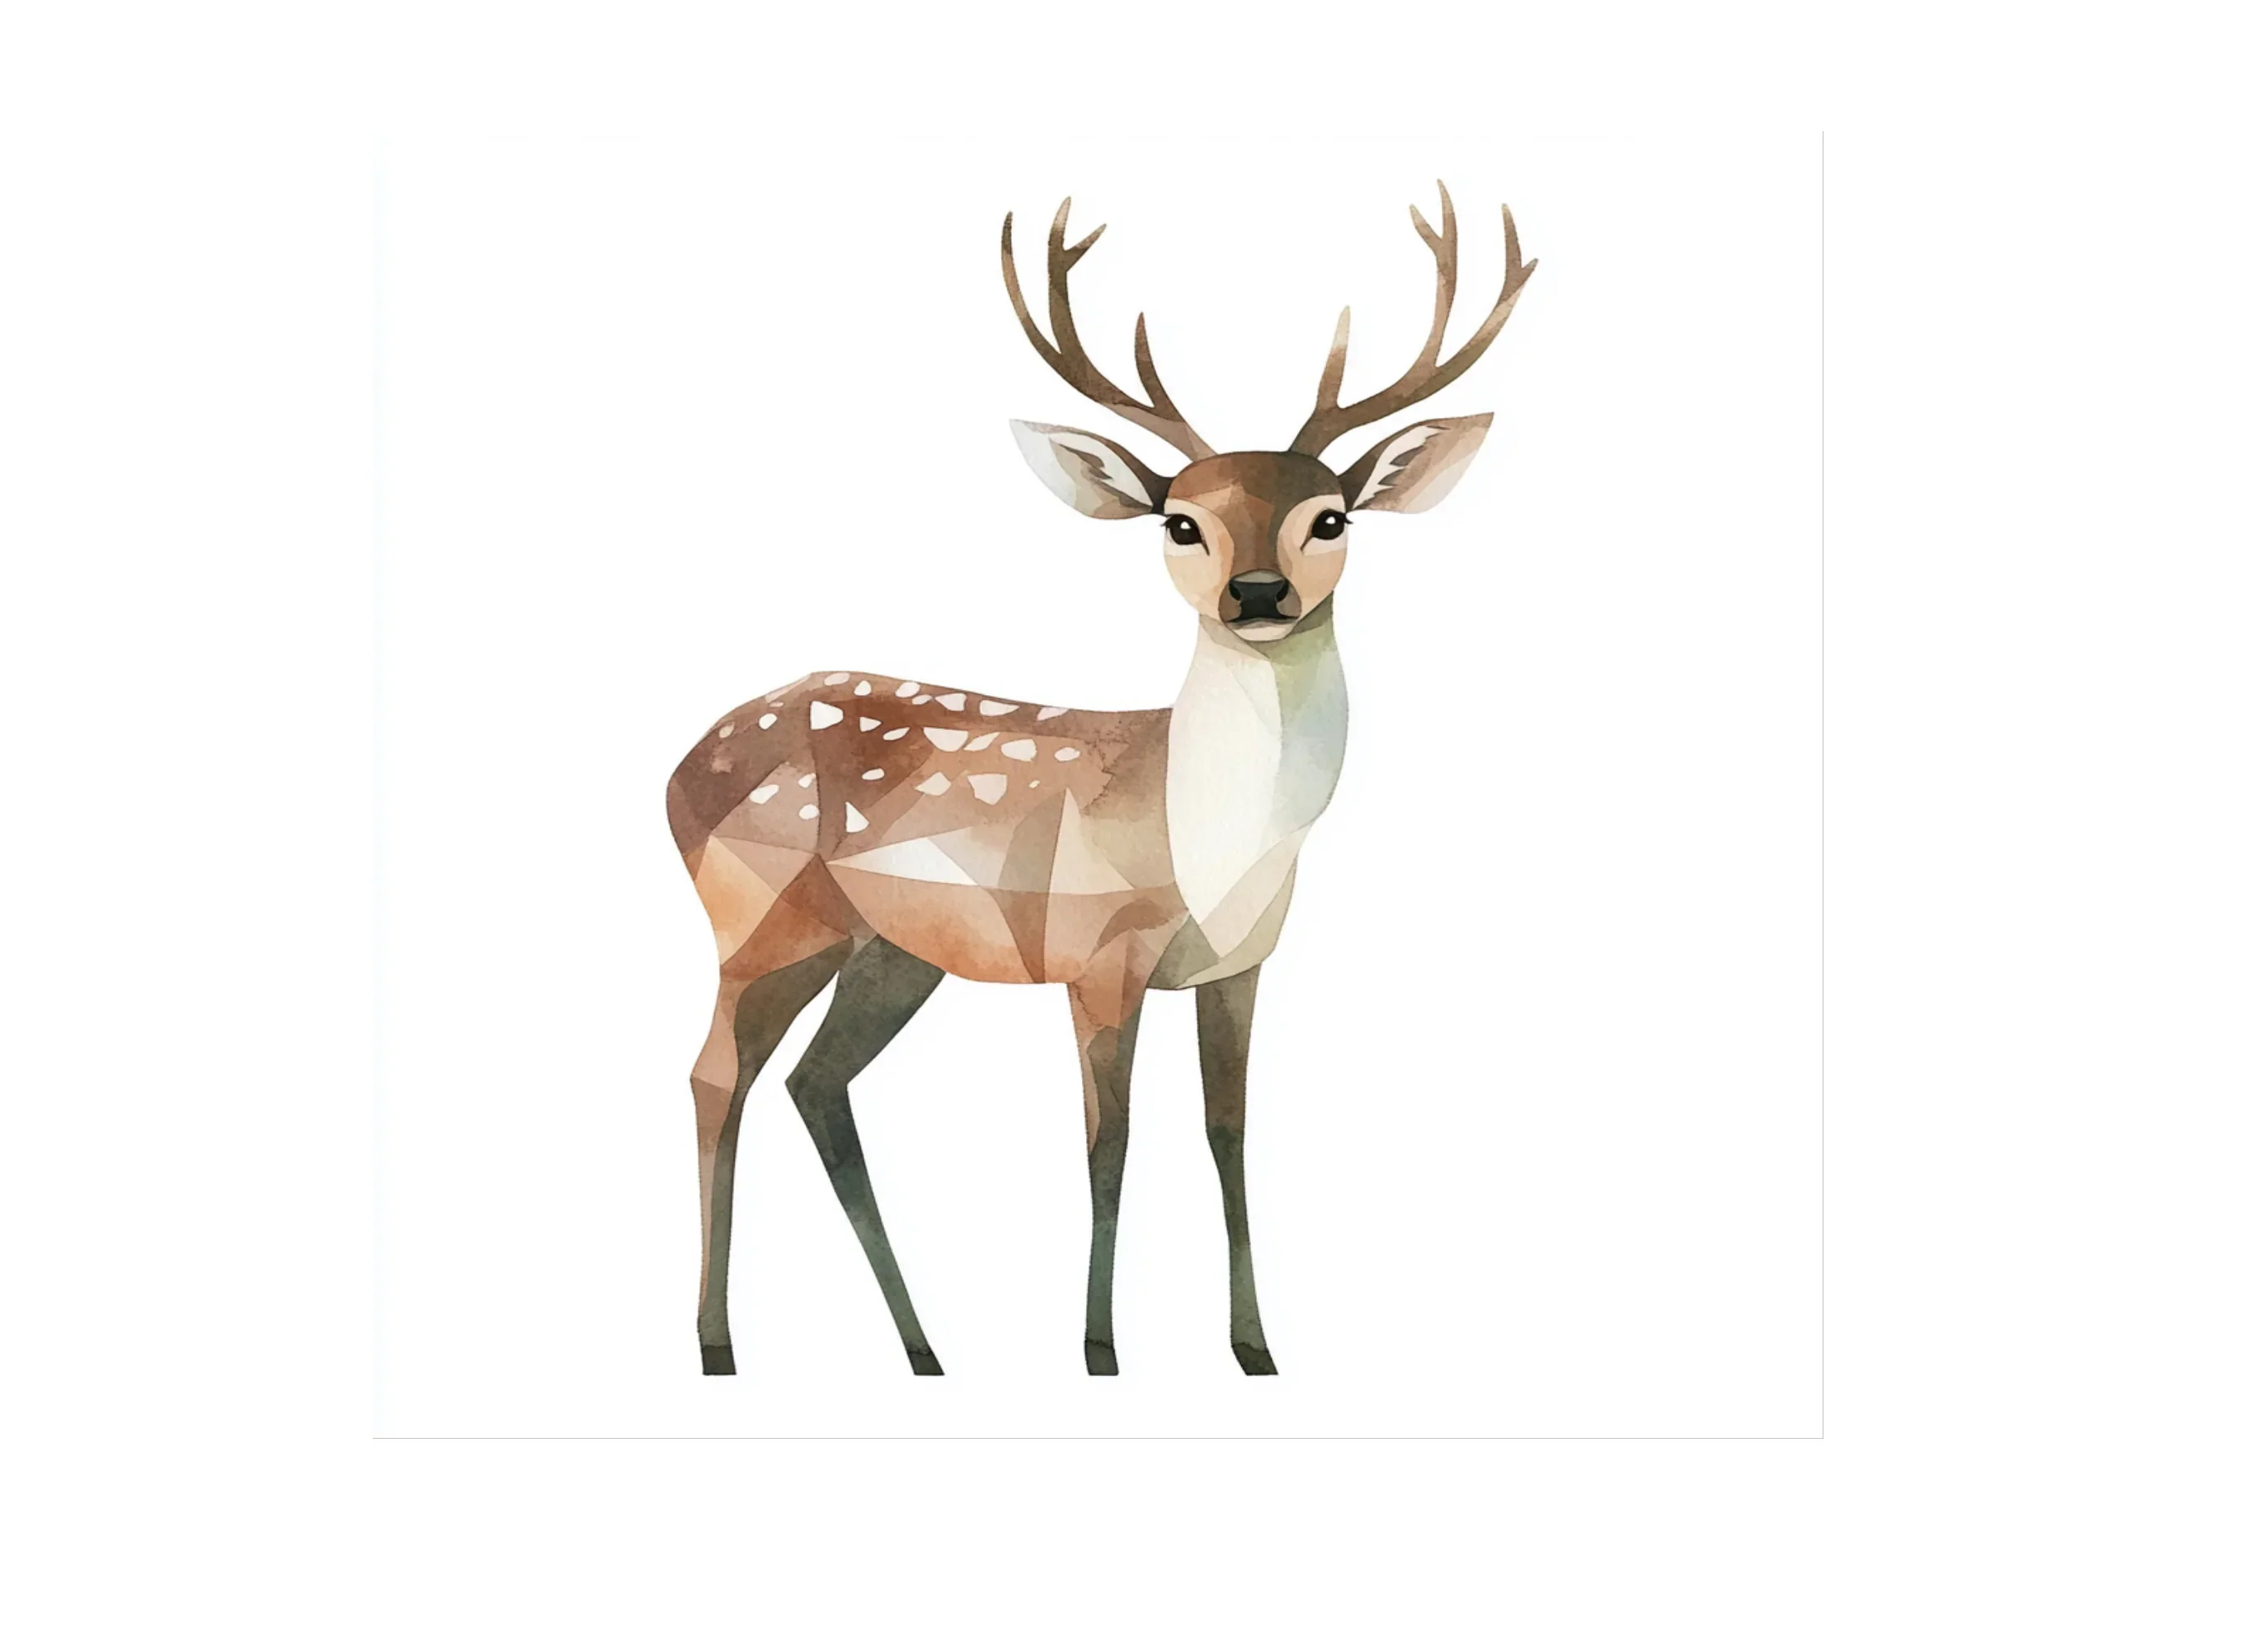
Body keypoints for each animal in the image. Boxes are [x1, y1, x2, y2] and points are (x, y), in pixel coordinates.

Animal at [667, 184, 1535, 1376]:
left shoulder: (1239, 965)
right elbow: (1108, 1143)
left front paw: (1255, 1350)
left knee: (816, 1081)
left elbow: (1228, 1133)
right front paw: (1098, 1351)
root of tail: (674, 769)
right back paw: (718, 1346)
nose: (1255, 593)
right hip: (762, 917)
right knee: (717, 1077)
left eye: (1330, 515)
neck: (1200, 843)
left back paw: (925, 1350)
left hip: (890, 949)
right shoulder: (1095, 954)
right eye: (1181, 520)